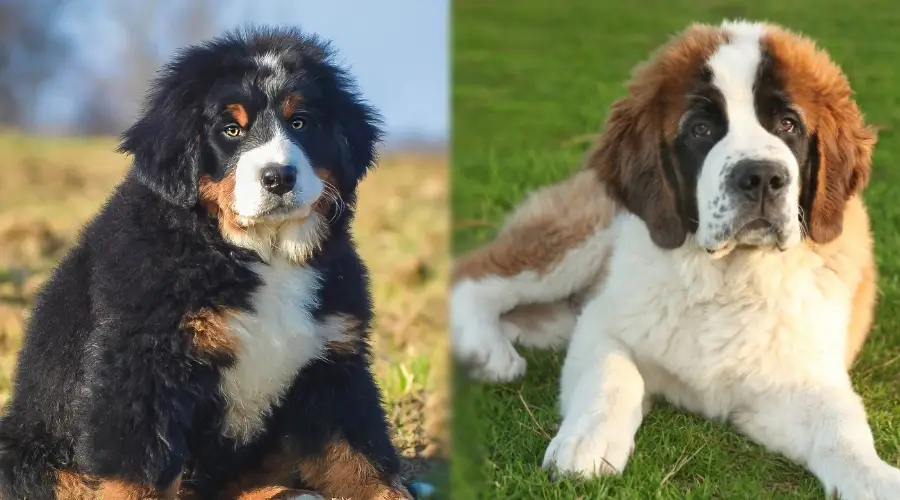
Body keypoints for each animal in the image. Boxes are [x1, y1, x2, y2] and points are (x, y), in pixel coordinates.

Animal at [0, 27, 416, 500]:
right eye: (232, 129)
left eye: (300, 123)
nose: (278, 177)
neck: (260, 254)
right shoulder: (144, 365)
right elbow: (139, 472)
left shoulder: (332, 359)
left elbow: (357, 455)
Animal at [454, 18, 896, 496]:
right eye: (701, 130)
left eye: (788, 124)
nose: (762, 176)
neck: (728, 275)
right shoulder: (602, 323)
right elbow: (614, 375)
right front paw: (587, 443)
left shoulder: (797, 379)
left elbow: (841, 424)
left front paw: (874, 478)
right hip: (579, 237)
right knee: (473, 274)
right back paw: (487, 353)